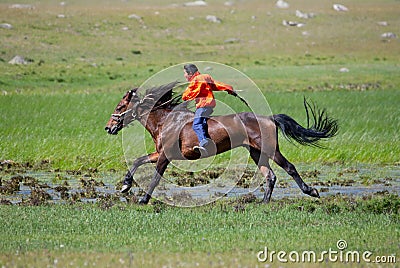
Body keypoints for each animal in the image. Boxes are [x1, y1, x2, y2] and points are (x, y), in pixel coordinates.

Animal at [106, 80, 338, 204]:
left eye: (120, 107)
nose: (108, 128)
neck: (166, 121)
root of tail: (269, 118)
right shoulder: (158, 154)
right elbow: (137, 160)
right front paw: (125, 185)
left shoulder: (165, 156)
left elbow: (154, 178)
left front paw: (143, 199)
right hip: (256, 152)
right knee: (270, 176)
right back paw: (263, 203)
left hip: (271, 150)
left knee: (289, 168)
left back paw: (311, 191)